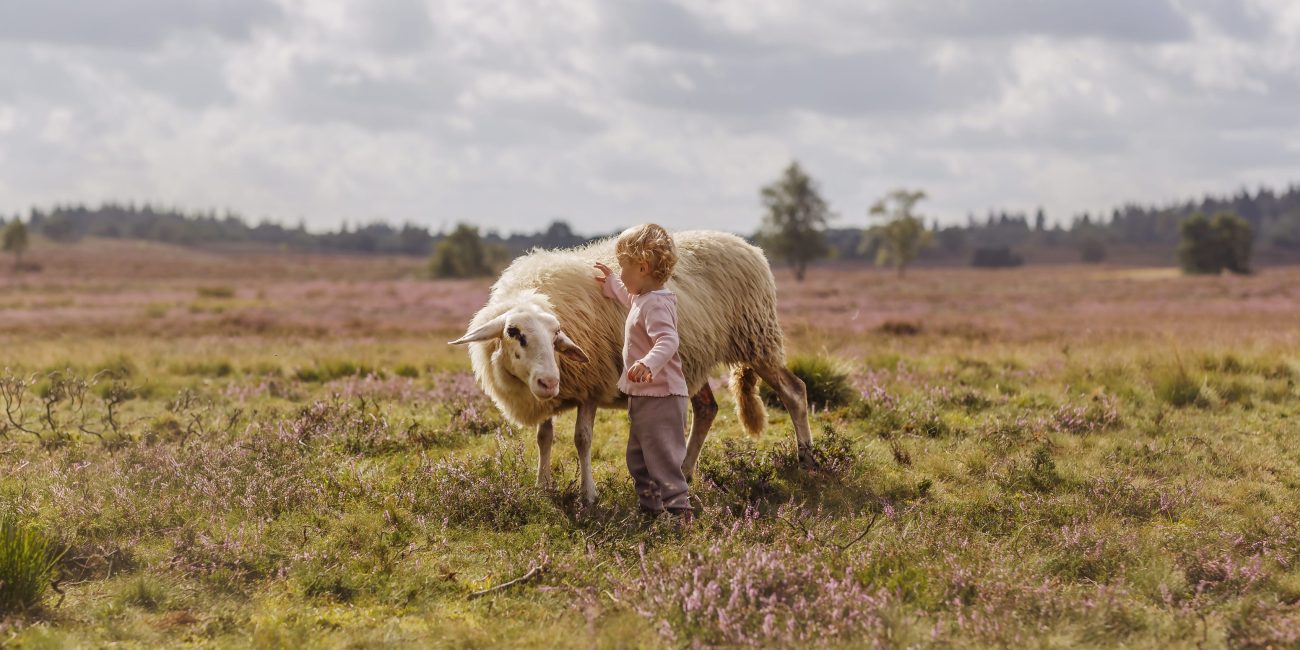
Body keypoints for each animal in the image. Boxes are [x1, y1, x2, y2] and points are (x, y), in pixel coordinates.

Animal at [449, 228, 811, 501]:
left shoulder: (591, 387)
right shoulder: (550, 395)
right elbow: (544, 438)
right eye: (514, 332)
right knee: (707, 409)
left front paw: (588, 494)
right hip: (692, 360)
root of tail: (749, 246)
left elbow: (582, 439)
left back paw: (807, 459)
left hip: (757, 338)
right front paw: (542, 487)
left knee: (794, 392)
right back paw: (685, 472)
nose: (549, 381)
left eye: (556, 336)